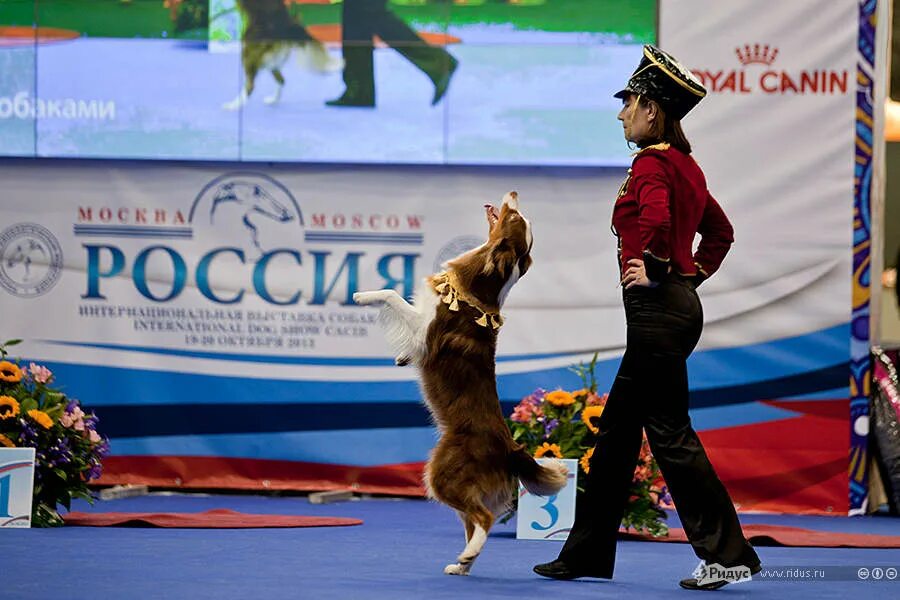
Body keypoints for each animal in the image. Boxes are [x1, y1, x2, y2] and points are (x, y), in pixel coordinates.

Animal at [352, 192, 564, 576]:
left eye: (514, 216)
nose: (513, 193)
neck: (479, 289)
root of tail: (510, 446)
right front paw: (401, 359)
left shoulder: (426, 332)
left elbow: (392, 294)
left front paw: (363, 296)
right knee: (476, 518)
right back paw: (462, 564)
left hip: (442, 473)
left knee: (483, 518)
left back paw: (466, 557)